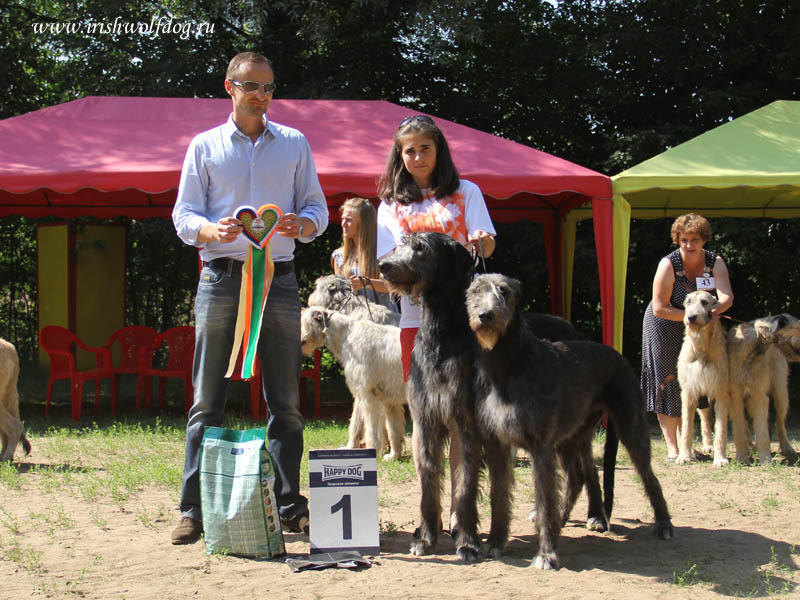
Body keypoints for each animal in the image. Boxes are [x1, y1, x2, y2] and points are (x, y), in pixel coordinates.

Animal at [676, 292, 732, 466]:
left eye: (704, 302)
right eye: (688, 302)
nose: (691, 317)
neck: (700, 347)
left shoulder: (721, 391)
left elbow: (721, 429)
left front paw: (720, 458)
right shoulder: (689, 391)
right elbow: (686, 427)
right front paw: (684, 456)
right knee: (705, 419)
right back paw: (707, 446)